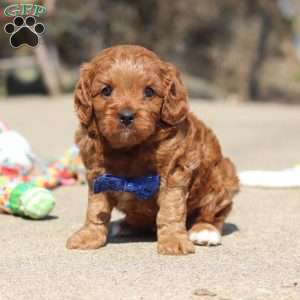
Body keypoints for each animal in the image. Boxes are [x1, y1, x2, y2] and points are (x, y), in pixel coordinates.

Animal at [66, 45, 239, 255]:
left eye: (149, 92)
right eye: (106, 90)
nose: (126, 116)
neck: (130, 148)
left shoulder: (174, 171)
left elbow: (170, 210)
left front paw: (173, 241)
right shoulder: (99, 175)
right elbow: (96, 208)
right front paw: (89, 236)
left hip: (223, 178)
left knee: (213, 213)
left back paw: (205, 230)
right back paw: (123, 225)